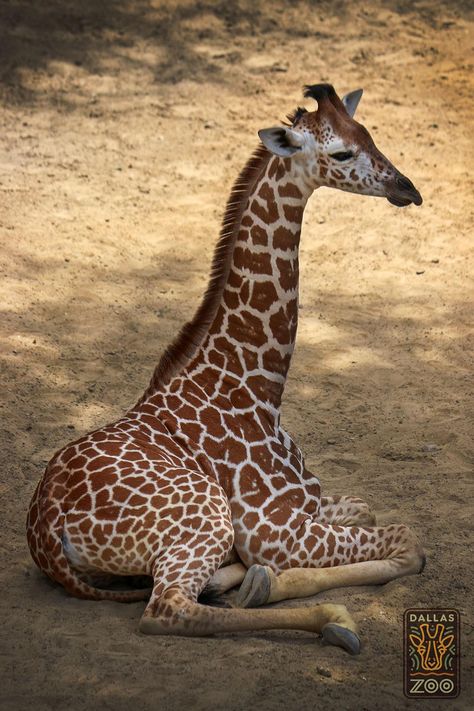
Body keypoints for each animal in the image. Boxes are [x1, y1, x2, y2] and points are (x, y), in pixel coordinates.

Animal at [27, 80, 424, 652]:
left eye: (369, 134)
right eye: (342, 154)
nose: (408, 188)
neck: (257, 388)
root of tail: (43, 531)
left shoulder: (309, 503)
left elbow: (368, 508)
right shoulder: (276, 530)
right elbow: (409, 543)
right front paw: (273, 584)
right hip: (205, 514)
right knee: (165, 609)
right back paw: (330, 619)